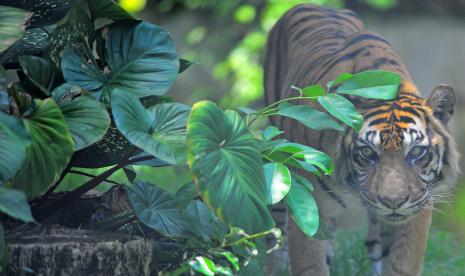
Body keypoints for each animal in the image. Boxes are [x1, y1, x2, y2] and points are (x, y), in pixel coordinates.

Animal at [262, 4, 458, 276]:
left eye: (416, 152)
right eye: (367, 153)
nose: (393, 202)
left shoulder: (418, 208)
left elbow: (402, 264)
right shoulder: (309, 208)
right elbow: (311, 264)